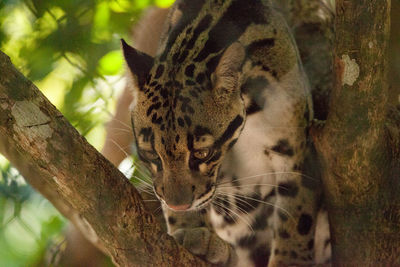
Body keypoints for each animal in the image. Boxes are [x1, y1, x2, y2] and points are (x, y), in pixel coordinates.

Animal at [121, 1, 328, 266]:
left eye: (202, 153)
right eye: (151, 156)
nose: (179, 206)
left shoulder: (296, 149)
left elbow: (296, 215)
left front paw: (290, 260)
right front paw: (192, 229)